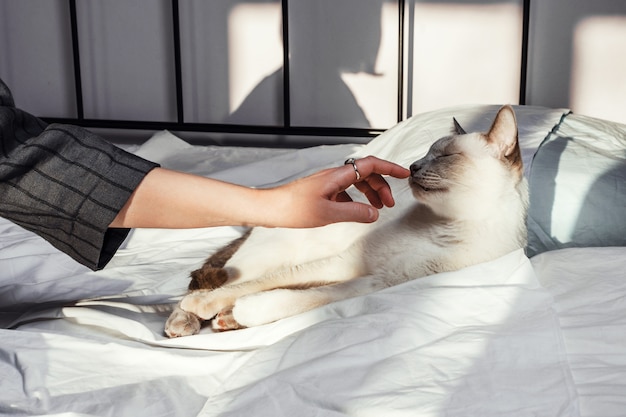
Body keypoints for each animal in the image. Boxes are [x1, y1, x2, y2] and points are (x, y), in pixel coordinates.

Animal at [163, 105, 524, 336]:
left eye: (447, 156)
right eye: (425, 154)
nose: (412, 167)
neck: (446, 225)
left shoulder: (377, 281)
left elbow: (296, 298)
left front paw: (245, 312)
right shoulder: (345, 262)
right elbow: (252, 288)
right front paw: (210, 307)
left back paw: (227, 320)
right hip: (266, 258)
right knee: (214, 282)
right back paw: (185, 321)